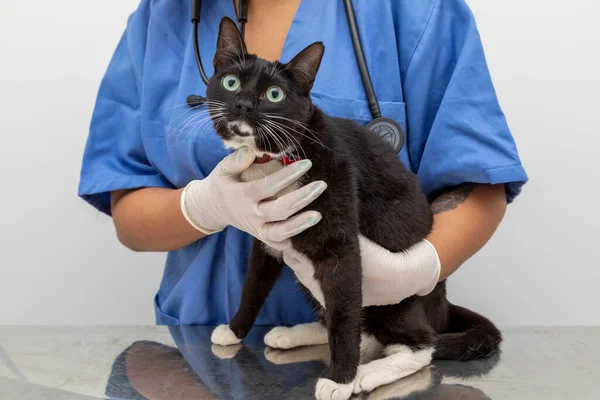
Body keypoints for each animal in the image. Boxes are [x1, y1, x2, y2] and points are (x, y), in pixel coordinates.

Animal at [204, 18, 500, 400]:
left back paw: (370, 371)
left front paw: (340, 379)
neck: (276, 159)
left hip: (398, 298)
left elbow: (344, 312)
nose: (243, 104)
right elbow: (253, 285)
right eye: (231, 82)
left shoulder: (341, 239)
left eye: (274, 95)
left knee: (419, 343)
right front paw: (235, 329)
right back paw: (292, 333)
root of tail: (442, 303)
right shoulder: (266, 235)